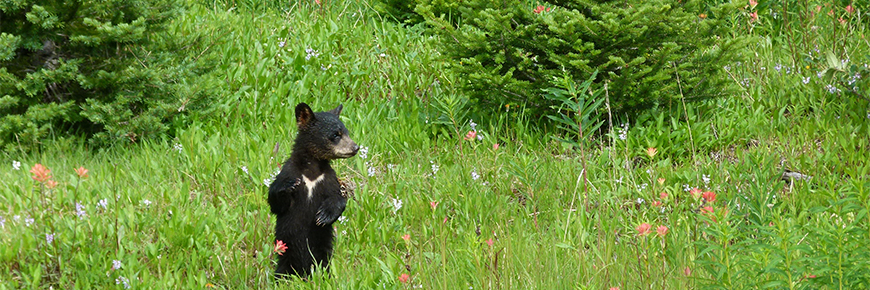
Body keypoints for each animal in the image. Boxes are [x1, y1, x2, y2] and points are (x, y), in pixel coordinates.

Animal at [268, 103, 360, 278]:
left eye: (347, 132)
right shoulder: (290, 171)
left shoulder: (328, 178)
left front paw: (323, 216)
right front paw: (287, 185)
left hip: (322, 254)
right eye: (336, 135)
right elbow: (276, 204)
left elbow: (337, 197)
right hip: (286, 257)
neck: (312, 170)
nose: (355, 147)